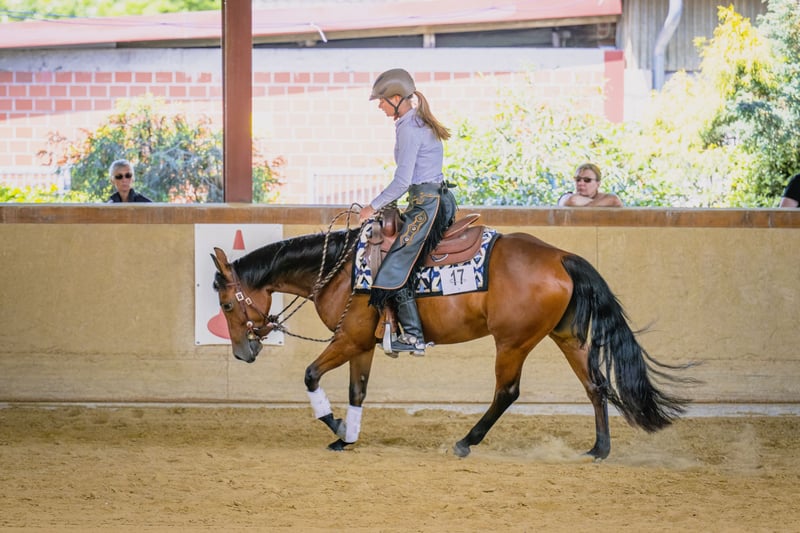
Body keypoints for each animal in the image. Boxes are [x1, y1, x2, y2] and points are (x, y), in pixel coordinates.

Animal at [211, 219, 692, 460]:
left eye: (228, 305)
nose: (243, 352)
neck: (344, 272)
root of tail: (560, 255)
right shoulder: (361, 345)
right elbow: (357, 392)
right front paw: (348, 437)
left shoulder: (347, 339)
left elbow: (311, 375)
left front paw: (337, 427)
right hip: (567, 336)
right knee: (595, 385)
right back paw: (599, 449)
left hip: (512, 342)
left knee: (507, 392)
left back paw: (466, 442)